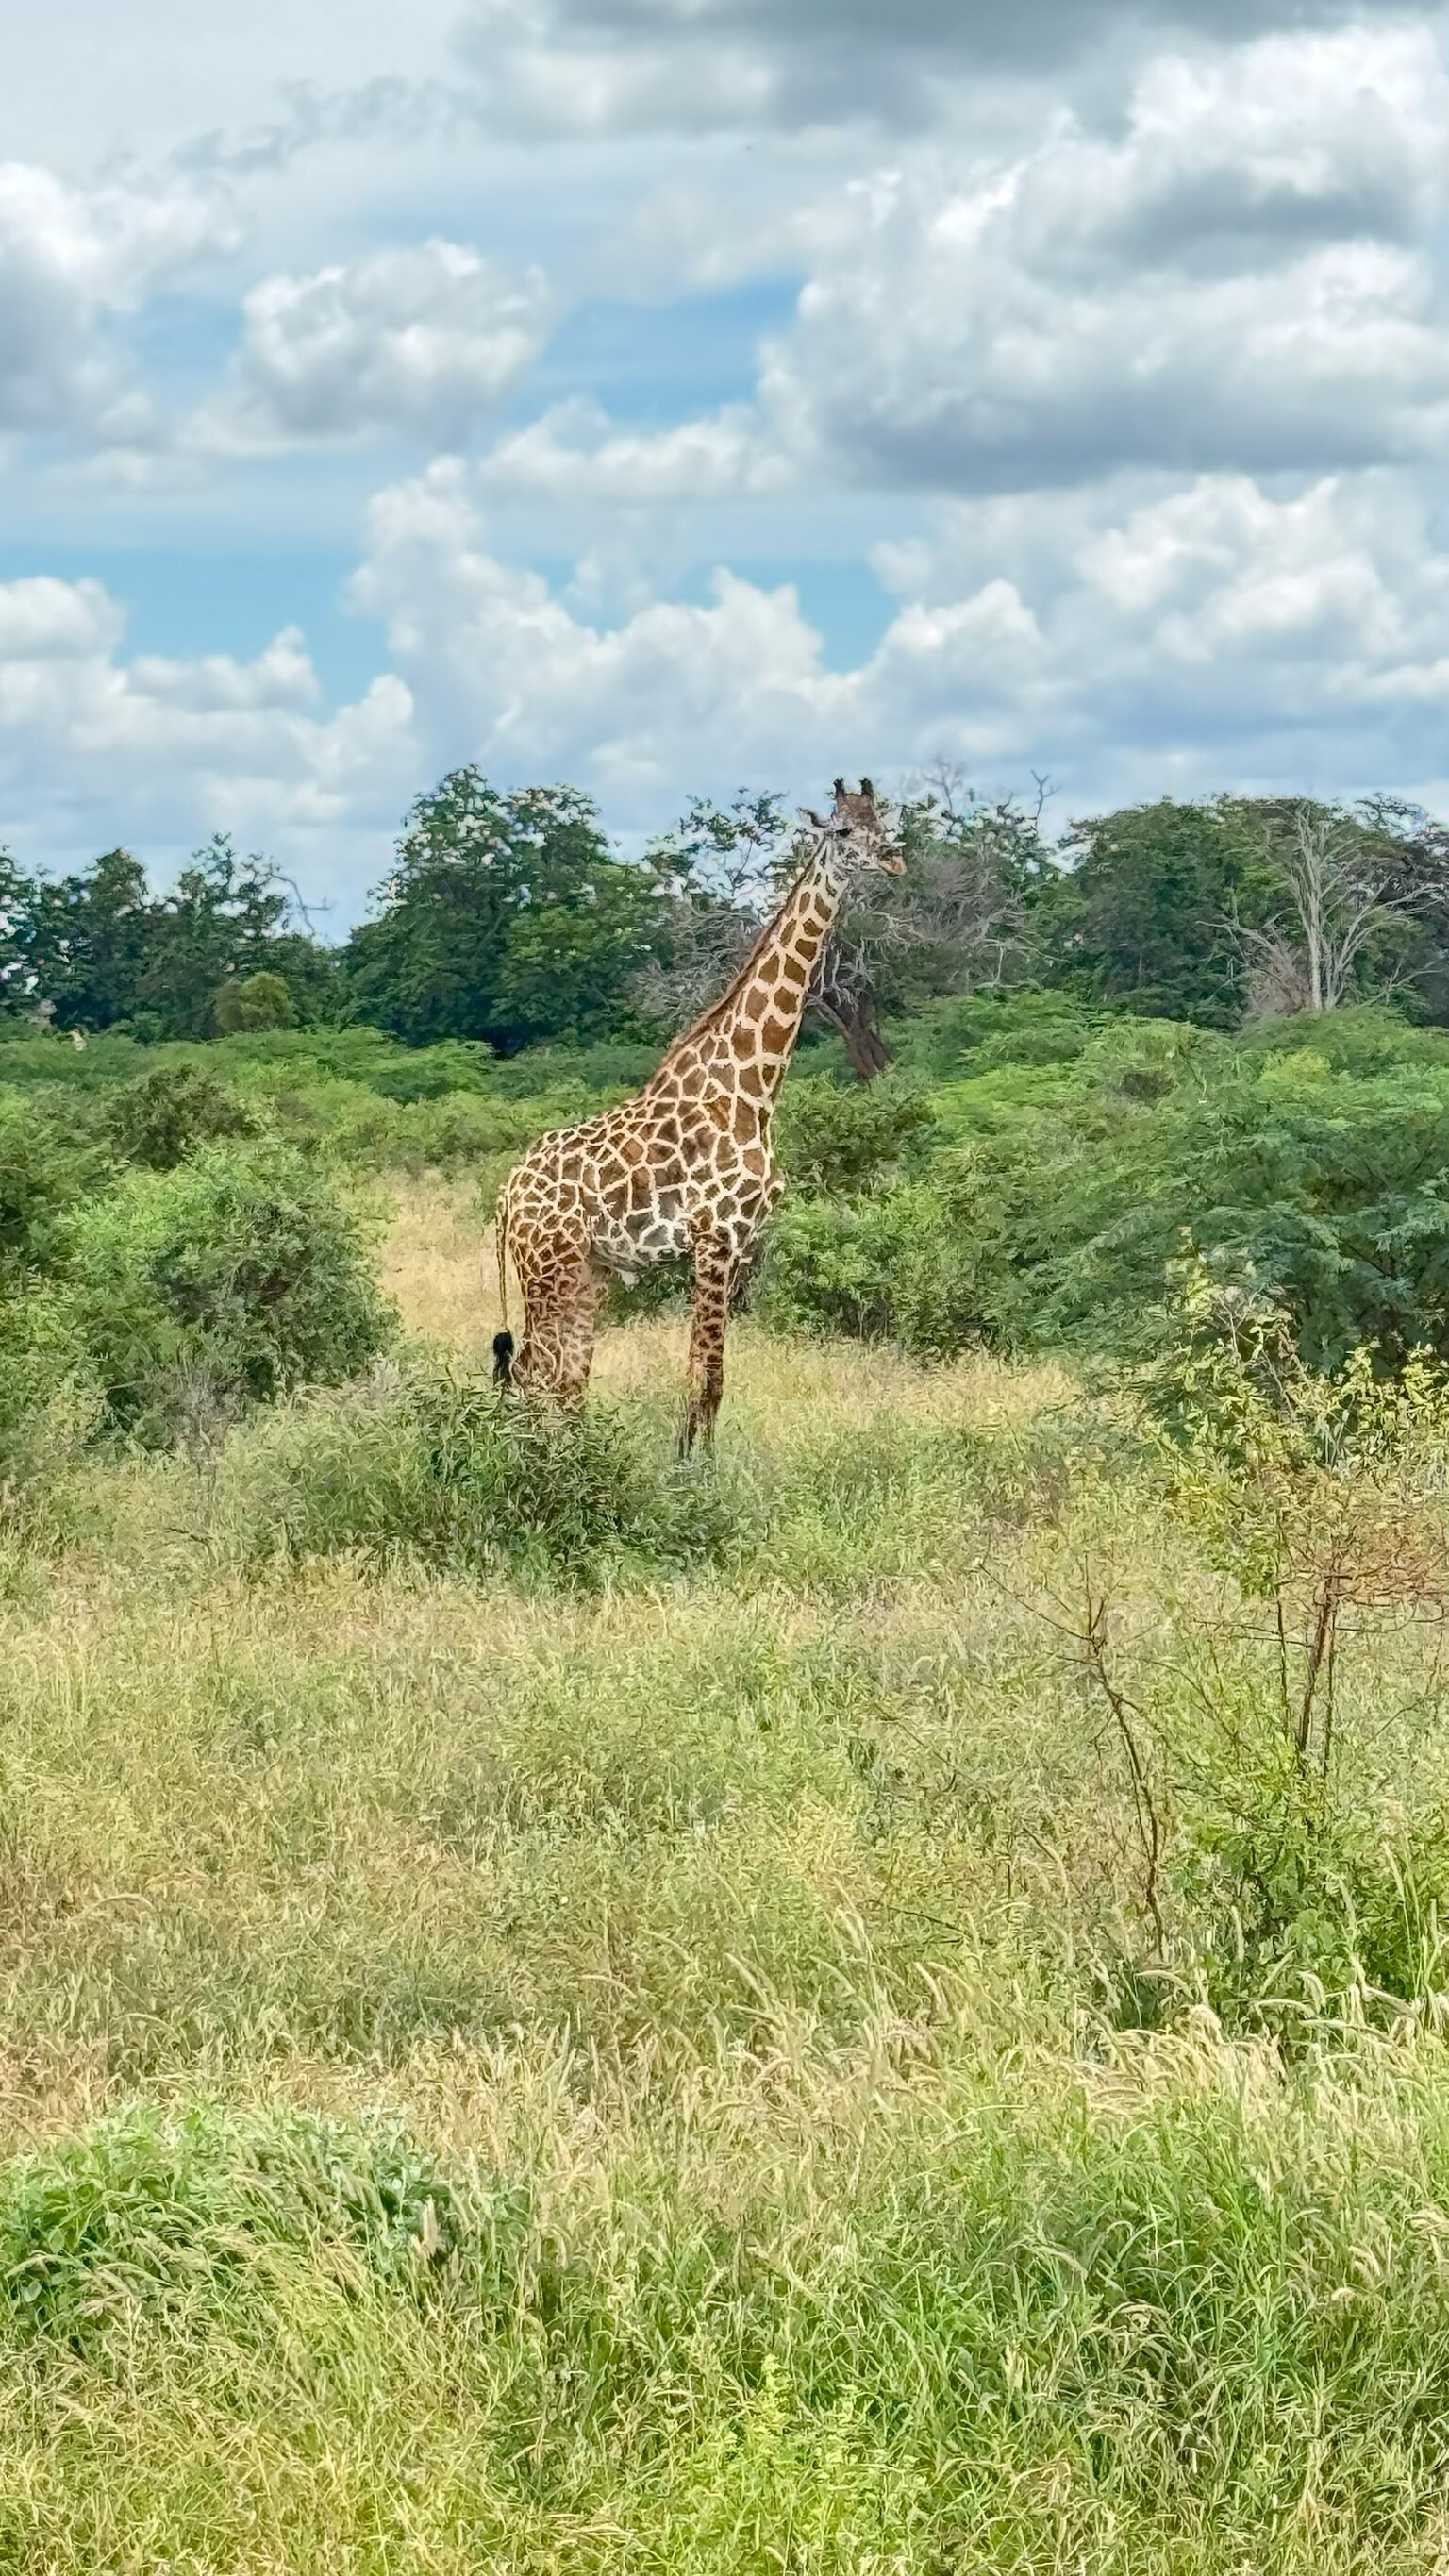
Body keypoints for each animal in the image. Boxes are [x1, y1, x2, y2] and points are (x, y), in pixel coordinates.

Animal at [492, 778, 904, 1450]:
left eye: (882, 822)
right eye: (842, 831)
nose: (893, 859)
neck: (753, 1088)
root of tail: (505, 1196)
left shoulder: (744, 1244)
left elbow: (707, 1375)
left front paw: (689, 1461)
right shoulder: (715, 1236)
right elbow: (707, 1377)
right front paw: (695, 1474)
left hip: (587, 1271)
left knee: (567, 1378)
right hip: (547, 1269)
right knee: (533, 1373)